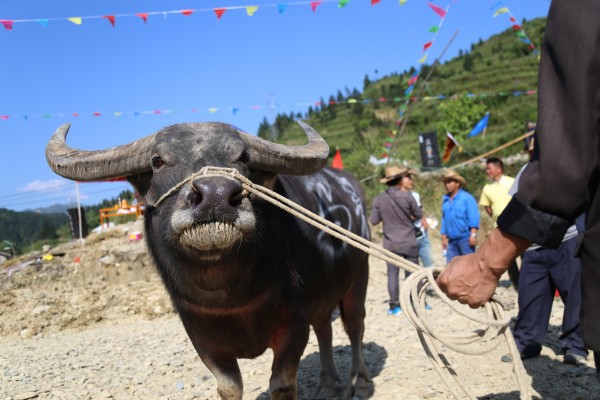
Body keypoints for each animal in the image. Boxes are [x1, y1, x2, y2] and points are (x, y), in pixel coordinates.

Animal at [45, 122, 370, 400]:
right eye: (158, 161)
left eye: (242, 157)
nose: (216, 195)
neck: (229, 297)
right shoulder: (203, 339)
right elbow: (229, 387)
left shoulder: (293, 326)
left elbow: (281, 384)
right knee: (325, 327)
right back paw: (327, 385)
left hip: (360, 276)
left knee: (354, 326)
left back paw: (359, 382)